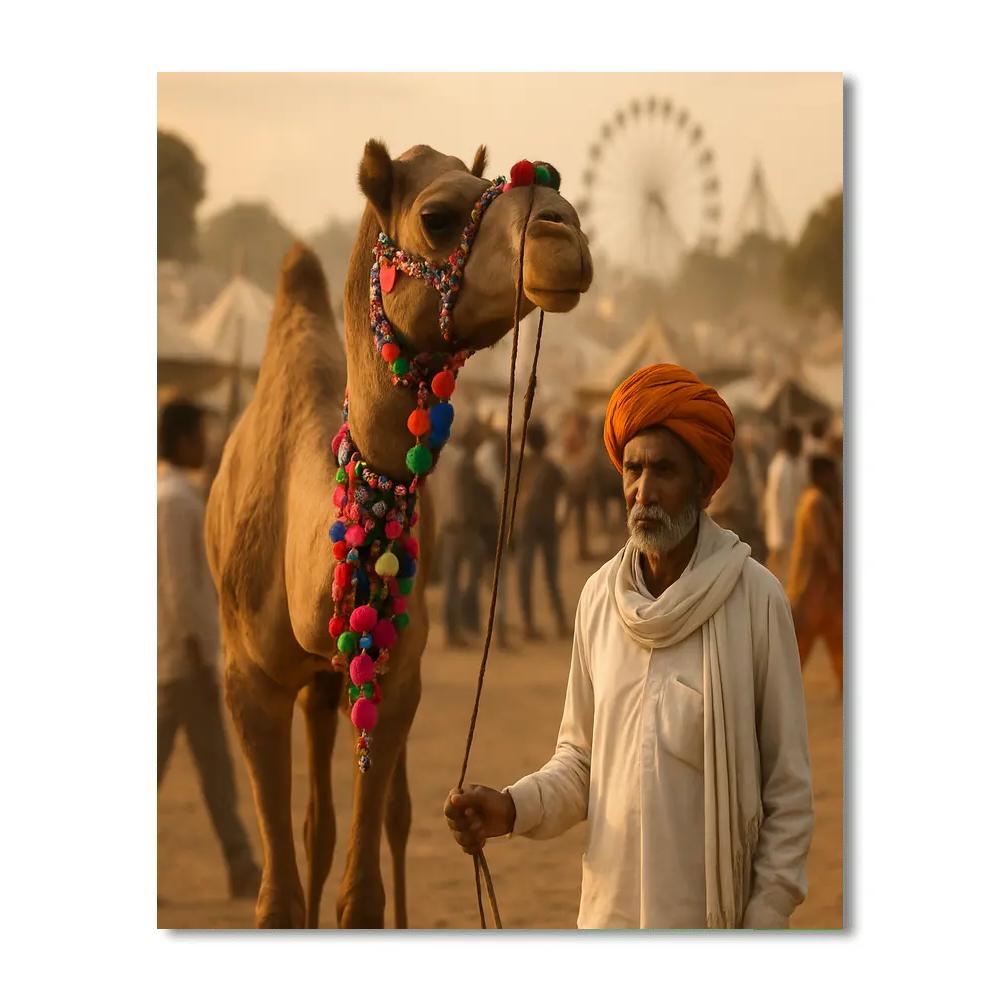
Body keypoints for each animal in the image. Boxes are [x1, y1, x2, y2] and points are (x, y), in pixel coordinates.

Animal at [204, 139, 593, 928]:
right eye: (437, 216)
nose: (563, 230)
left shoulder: (394, 672)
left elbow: (363, 895)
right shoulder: (247, 679)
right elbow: (277, 901)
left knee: (391, 817)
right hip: (318, 682)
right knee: (319, 826)